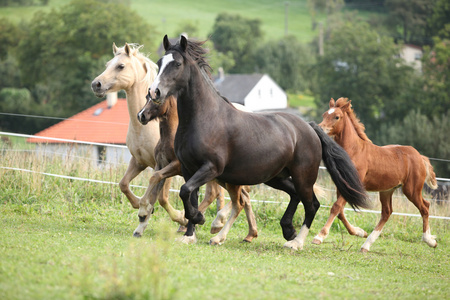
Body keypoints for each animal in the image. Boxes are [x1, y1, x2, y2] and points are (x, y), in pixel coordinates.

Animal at [92, 42, 225, 232]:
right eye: (108, 64)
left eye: (121, 66)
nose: (96, 84)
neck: (145, 129)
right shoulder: (139, 161)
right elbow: (124, 184)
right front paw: (141, 207)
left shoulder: (169, 166)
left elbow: (162, 196)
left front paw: (176, 217)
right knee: (218, 192)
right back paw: (215, 223)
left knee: (215, 193)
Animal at [143, 35, 370, 250]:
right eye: (160, 62)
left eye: (177, 64)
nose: (154, 92)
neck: (203, 118)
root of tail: (309, 127)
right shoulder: (189, 169)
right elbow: (189, 196)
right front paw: (189, 235)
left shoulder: (210, 168)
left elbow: (185, 192)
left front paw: (199, 219)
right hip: (276, 177)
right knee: (295, 195)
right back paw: (287, 230)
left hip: (303, 176)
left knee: (312, 204)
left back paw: (296, 242)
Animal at [312, 97, 436, 252]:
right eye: (324, 114)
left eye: (337, 117)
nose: (319, 129)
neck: (354, 151)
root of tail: (420, 156)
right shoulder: (341, 186)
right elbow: (340, 211)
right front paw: (359, 232)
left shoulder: (352, 186)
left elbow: (336, 207)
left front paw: (319, 237)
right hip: (387, 190)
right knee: (387, 212)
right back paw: (366, 245)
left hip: (411, 190)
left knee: (425, 207)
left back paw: (429, 240)